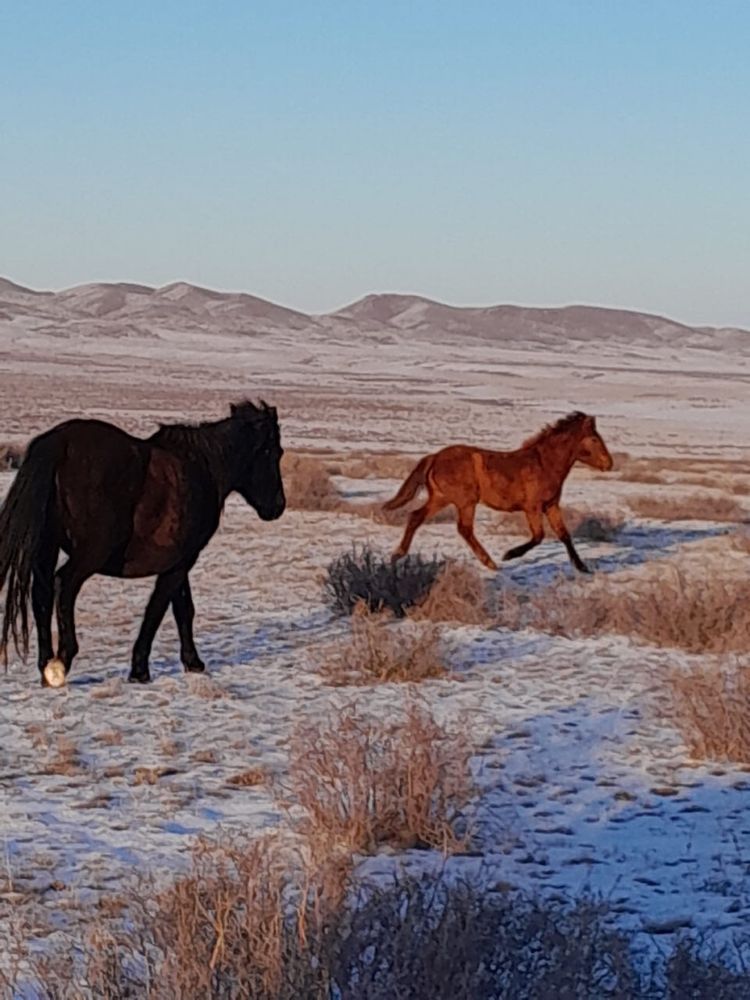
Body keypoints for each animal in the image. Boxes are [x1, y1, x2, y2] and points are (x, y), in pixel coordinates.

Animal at [384, 412, 612, 572]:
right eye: (594, 439)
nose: (609, 464)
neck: (545, 464)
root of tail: (434, 457)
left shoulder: (551, 505)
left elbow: (564, 534)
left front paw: (582, 567)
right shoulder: (533, 507)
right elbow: (538, 536)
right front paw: (509, 555)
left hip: (441, 498)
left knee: (416, 517)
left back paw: (397, 555)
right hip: (465, 501)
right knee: (464, 529)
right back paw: (491, 562)